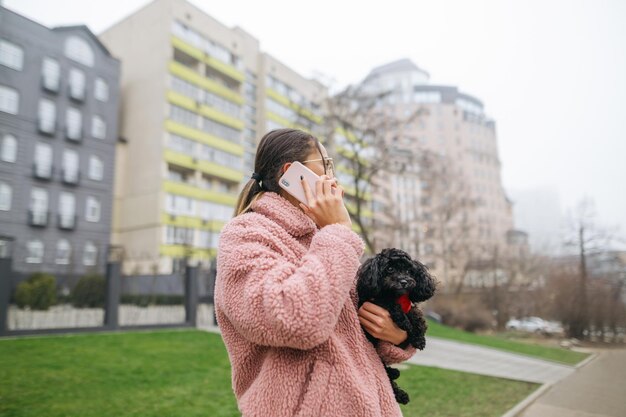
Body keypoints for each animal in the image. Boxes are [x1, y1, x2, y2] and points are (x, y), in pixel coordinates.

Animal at [354, 247, 436, 404]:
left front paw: (419, 338)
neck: (397, 295)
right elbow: (390, 303)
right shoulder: (375, 299)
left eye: (409, 271)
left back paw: (395, 374)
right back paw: (400, 392)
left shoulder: (409, 306)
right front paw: (405, 322)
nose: (404, 281)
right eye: (390, 269)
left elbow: (417, 316)